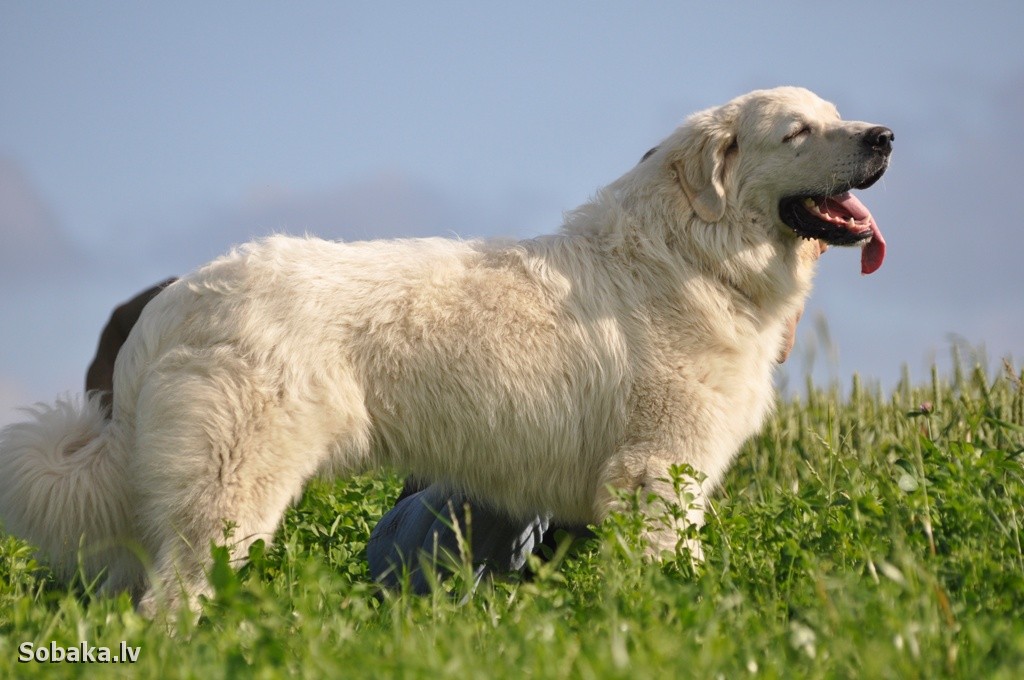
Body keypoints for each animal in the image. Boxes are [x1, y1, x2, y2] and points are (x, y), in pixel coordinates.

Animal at [0, 87, 888, 614]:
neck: (697, 251)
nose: (883, 135)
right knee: (173, 605)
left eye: (837, 114)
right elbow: (675, 568)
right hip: (228, 495)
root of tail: (173, 301)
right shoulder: (657, 472)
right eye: (798, 132)